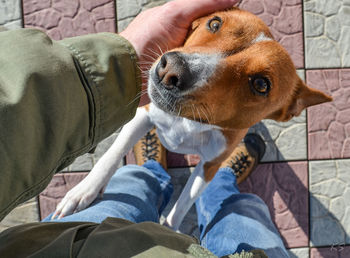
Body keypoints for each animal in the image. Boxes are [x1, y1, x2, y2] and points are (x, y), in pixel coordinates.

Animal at [53, 8, 332, 230]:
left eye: (261, 84)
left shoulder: (210, 165)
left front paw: (167, 230)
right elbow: (111, 155)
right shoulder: (144, 114)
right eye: (215, 23)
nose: (171, 70)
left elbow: (182, 207)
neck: (188, 122)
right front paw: (83, 191)